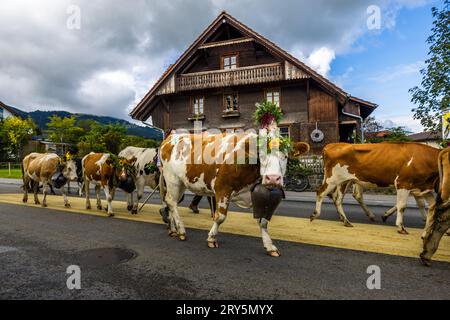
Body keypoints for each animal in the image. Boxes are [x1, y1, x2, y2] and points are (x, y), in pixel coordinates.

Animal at [158, 101, 310, 256]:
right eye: (261, 156)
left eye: (285, 156)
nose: (273, 178)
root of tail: (169, 138)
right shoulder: (222, 188)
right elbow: (220, 217)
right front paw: (212, 238)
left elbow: (263, 221)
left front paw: (270, 246)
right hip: (172, 179)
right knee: (172, 202)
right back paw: (181, 230)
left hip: (181, 182)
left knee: (171, 202)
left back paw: (173, 229)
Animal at [310, 144, 440, 234]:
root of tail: (331, 145)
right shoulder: (403, 183)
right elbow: (402, 206)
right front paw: (400, 227)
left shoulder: (423, 188)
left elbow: (432, 206)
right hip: (332, 179)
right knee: (321, 192)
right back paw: (315, 215)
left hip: (344, 181)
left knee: (337, 199)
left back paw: (346, 221)